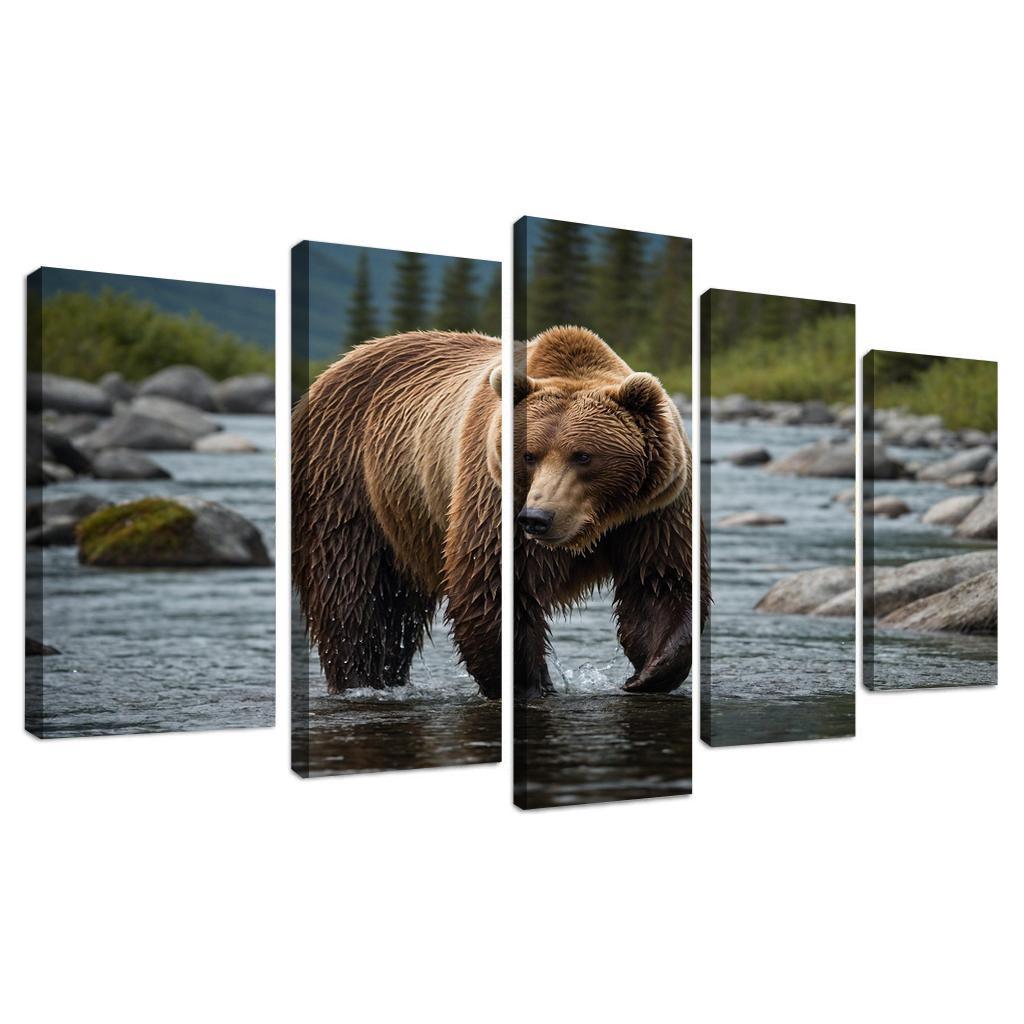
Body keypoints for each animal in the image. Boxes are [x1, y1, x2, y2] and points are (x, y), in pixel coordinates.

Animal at [512, 325, 709, 698]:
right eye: (529, 456)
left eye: (583, 455)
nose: (537, 518)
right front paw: (532, 684)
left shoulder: (656, 511)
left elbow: (660, 583)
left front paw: (644, 675)